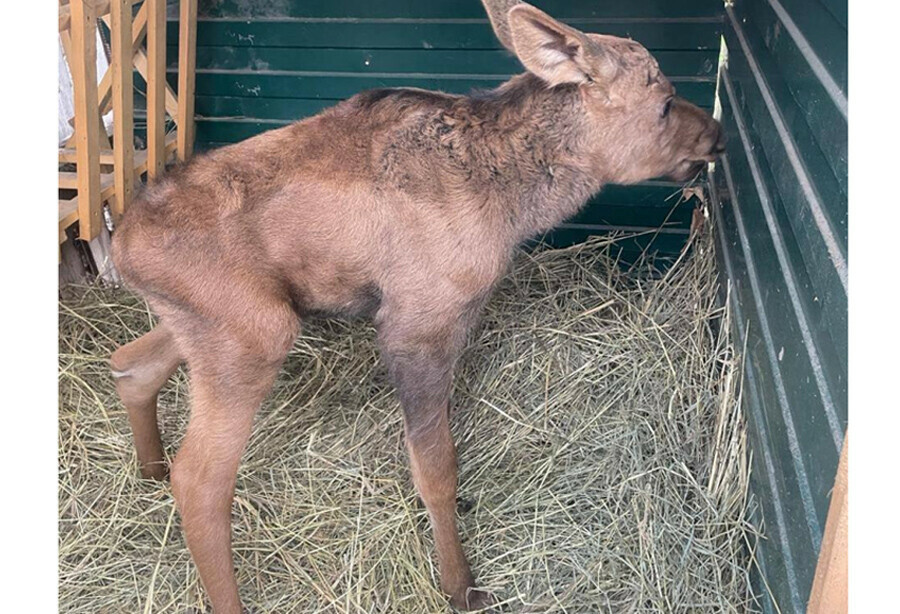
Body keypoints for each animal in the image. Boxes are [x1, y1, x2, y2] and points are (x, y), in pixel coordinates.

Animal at [109, 0, 724, 612]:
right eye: (665, 103)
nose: (717, 134)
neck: (516, 206)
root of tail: (122, 247)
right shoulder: (417, 325)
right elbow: (436, 470)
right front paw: (460, 585)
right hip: (256, 334)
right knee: (199, 479)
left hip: (216, 323)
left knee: (130, 362)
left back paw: (149, 468)